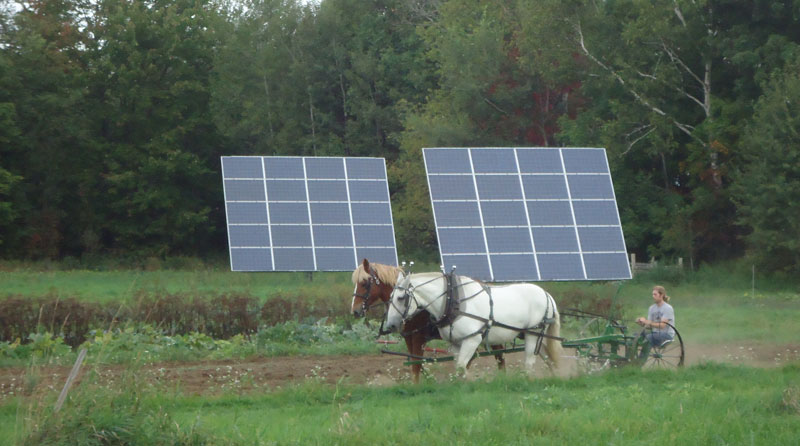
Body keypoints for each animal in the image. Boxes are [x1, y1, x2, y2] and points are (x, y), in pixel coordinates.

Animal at [348, 258, 504, 384]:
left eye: (364, 283)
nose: (355, 311)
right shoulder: (409, 338)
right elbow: (415, 363)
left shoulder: (418, 337)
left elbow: (416, 364)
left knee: (497, 357)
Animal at [386, 272, 564, 376]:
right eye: (390, 297)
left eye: (401, 298)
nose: (391, 325)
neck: (452, 301)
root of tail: (547, 295)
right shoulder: (456, 344)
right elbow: (459, 368)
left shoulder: (472, 339)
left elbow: (461, 367)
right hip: (539, 336)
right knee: (548, 358)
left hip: (533, 333)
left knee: (529, 362)